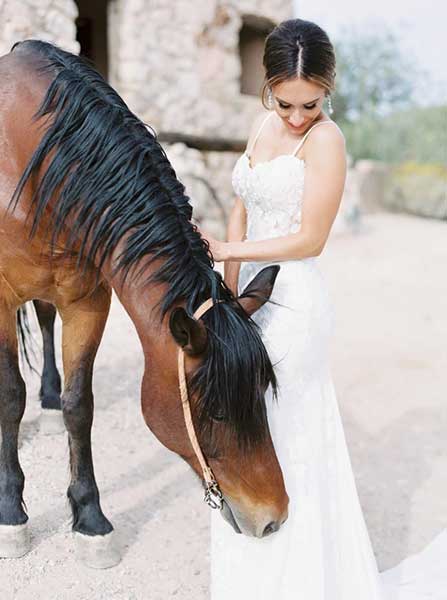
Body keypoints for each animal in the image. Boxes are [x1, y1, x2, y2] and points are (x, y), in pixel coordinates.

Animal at [0, 41, 288, 568]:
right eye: (216, 413)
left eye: (261, 394)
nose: (273, 518)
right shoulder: (2, 295)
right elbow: (10, 396)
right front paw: (12, 512)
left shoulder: (89, 301)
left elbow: (80, 405)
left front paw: (90, 518)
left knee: (46, 322)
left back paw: (47, 399)